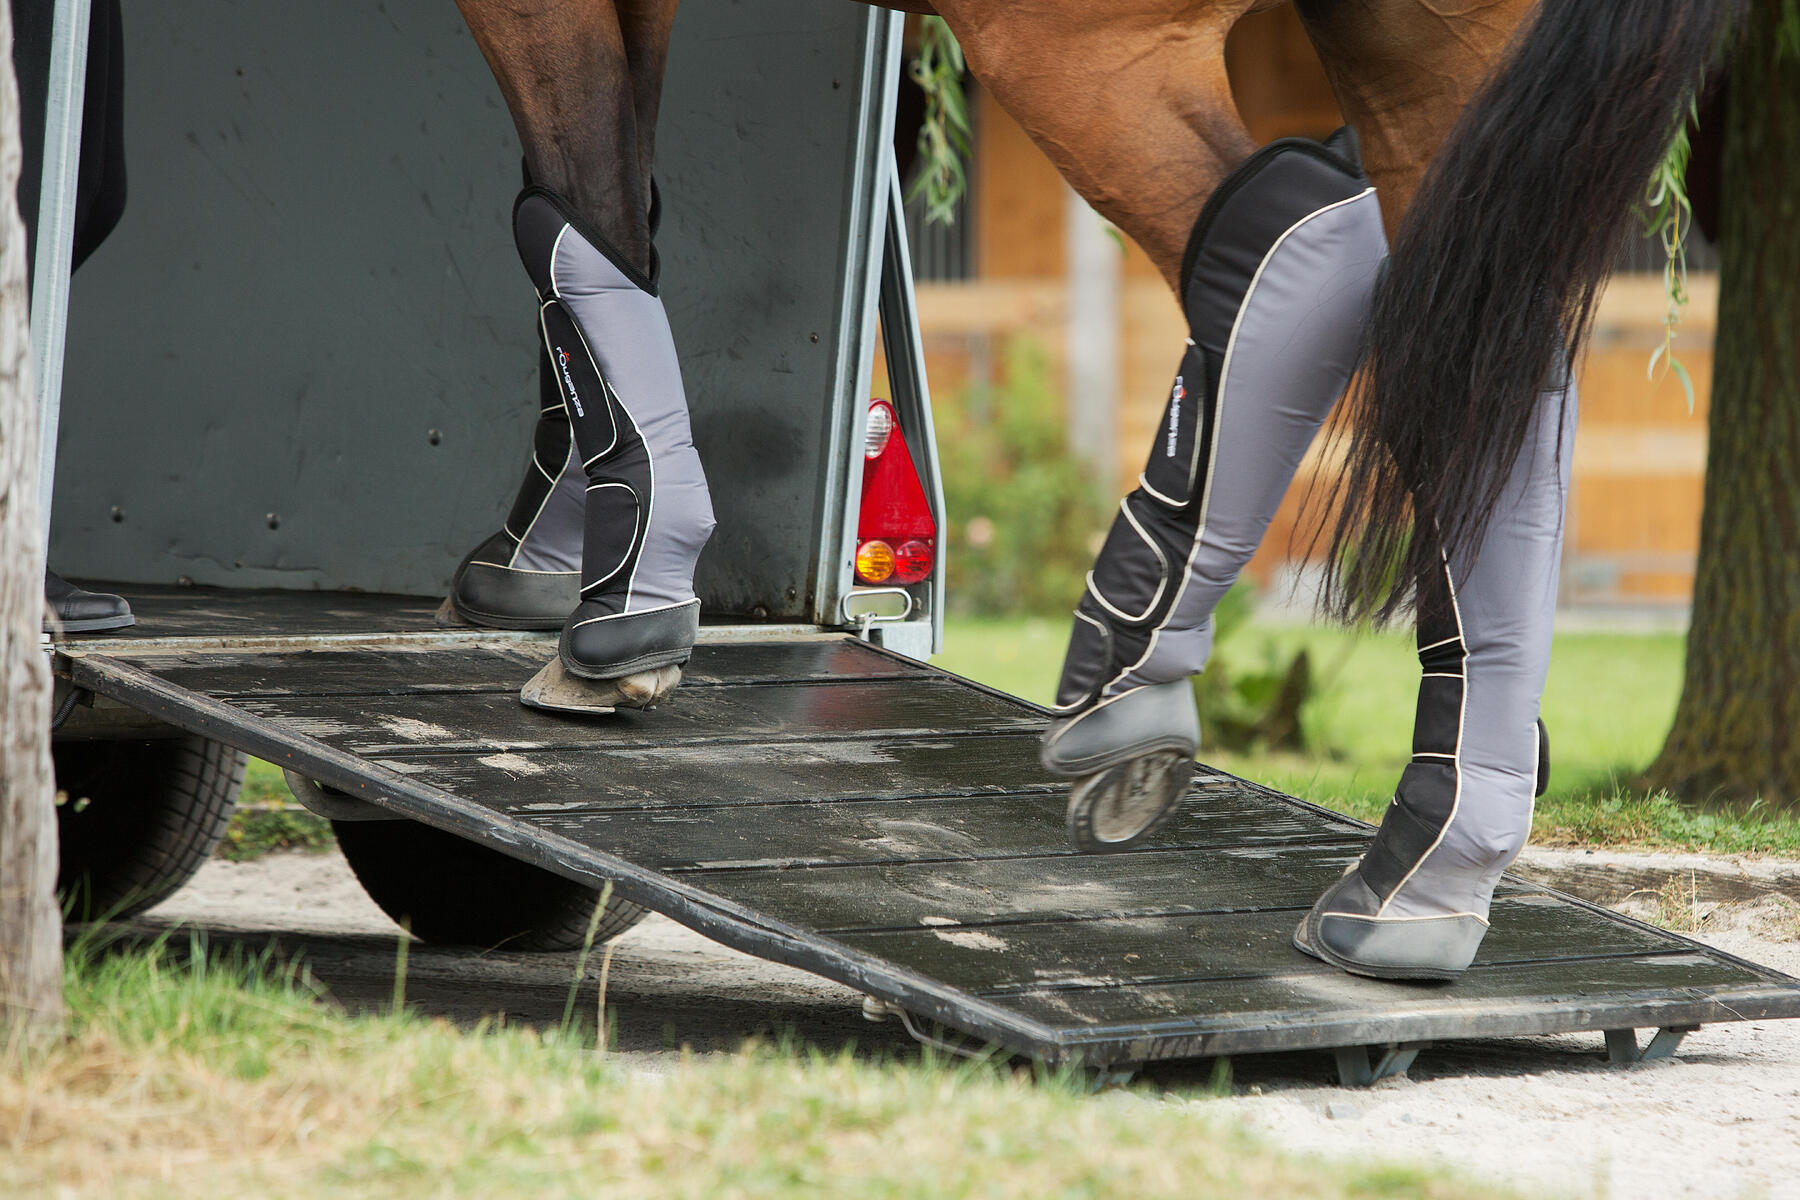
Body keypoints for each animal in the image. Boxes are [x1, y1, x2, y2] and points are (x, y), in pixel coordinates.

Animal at [438, 0, 1739, 979]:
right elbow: (610, 218)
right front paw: (552, 563)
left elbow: (579, 207)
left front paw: (619, 620)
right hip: (1436, 54)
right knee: (1476, 369)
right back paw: (1422, 879)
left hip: (1085, 39)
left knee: (1293, 244)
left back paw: (1130, 675)